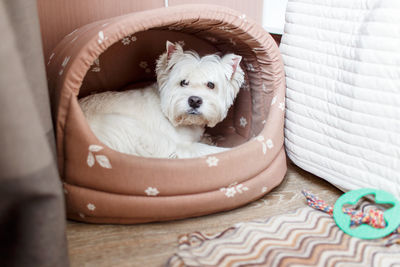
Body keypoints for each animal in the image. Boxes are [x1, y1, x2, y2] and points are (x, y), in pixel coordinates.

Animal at [79, 41, 244, 159]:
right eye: (183, 82)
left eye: (211, 85)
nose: (195, 101)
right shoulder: (183, 147)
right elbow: (210, 150)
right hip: (125, 127)